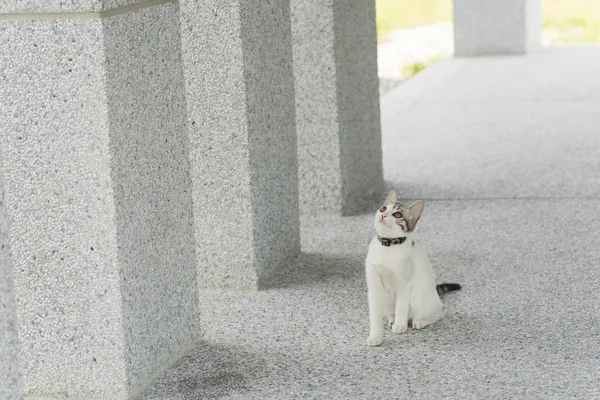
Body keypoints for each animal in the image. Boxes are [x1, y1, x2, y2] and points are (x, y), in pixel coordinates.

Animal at [366, 189, 460, 346]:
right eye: (383, 208)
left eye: (398, 214)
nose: (383, 215)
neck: (388, 246)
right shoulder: (374, 287)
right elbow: (374, 315)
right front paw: (375, 336)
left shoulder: (404, 284)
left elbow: (401, 306)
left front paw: (400, 325)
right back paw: (392, 319)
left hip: (419, 296)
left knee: (439, 312)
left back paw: (419, 321)